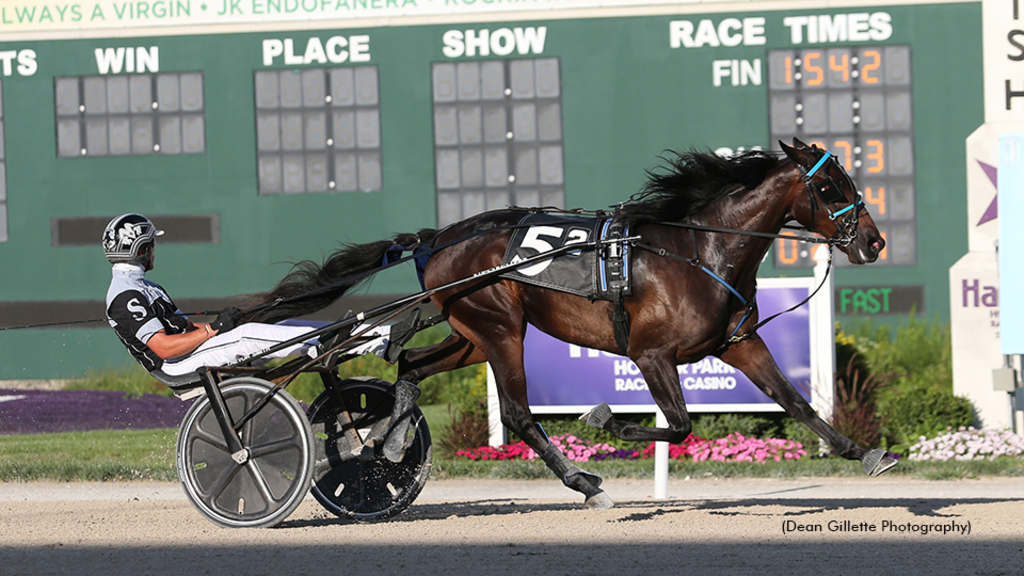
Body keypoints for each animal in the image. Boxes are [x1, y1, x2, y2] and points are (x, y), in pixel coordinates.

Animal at [243, 138, 892, 506]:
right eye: (829, 184)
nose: (874, 241)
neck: (701, 251)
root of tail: (435, 239)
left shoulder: (739, 342)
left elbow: (797, 402)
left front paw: (866, 454)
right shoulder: (652, 354)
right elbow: (679, 426)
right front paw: (604, 419)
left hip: (471, 333)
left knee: (410, 363)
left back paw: (389, 439)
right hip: (500, 327)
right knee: (517, 413)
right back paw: (583, 484)